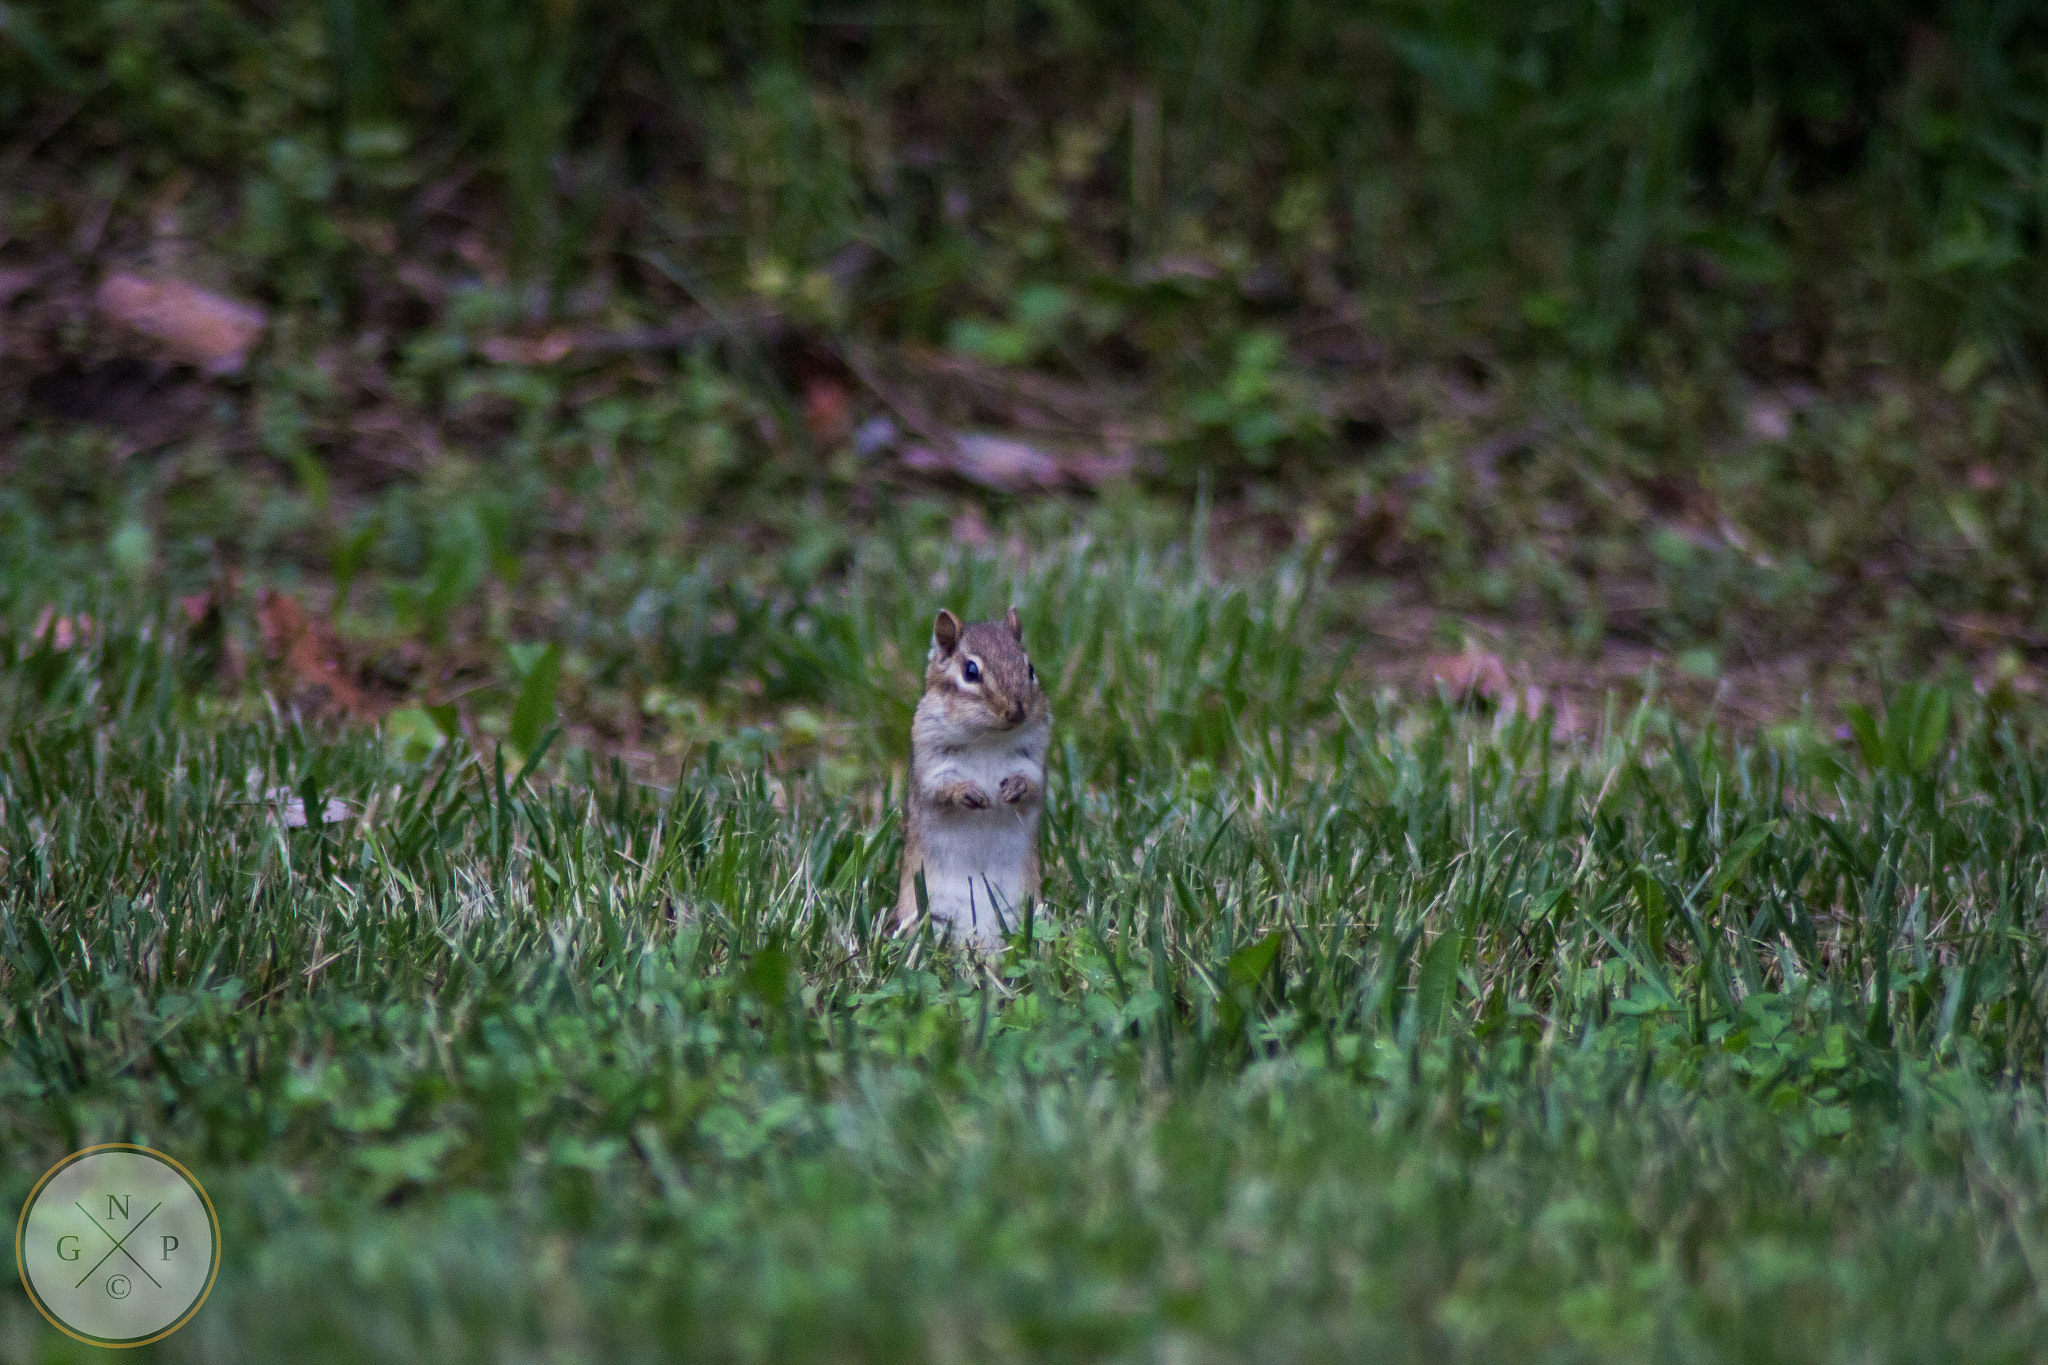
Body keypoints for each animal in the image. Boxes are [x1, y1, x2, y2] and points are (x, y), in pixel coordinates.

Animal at [896, 606, 1052, 944]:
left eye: (1030, 668)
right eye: (970, 671)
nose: (1017, 711)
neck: (987, 738)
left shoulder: (1033, 757)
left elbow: (1034, 784)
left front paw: (1015, 787)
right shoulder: (933, 761)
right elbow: (937, 789)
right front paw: (966, 792)